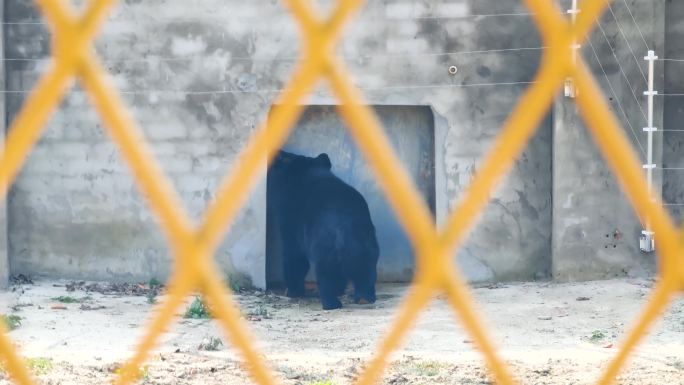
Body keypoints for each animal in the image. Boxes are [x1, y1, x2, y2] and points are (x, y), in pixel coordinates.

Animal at [268, 150, 382, 308]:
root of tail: (344, 229)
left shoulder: (292, 218)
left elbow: (294, 254)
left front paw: (292, 291)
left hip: (324, 243)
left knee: (326, 273)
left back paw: (331, 302)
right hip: (366, 242)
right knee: (365, 270)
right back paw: (365, 297)